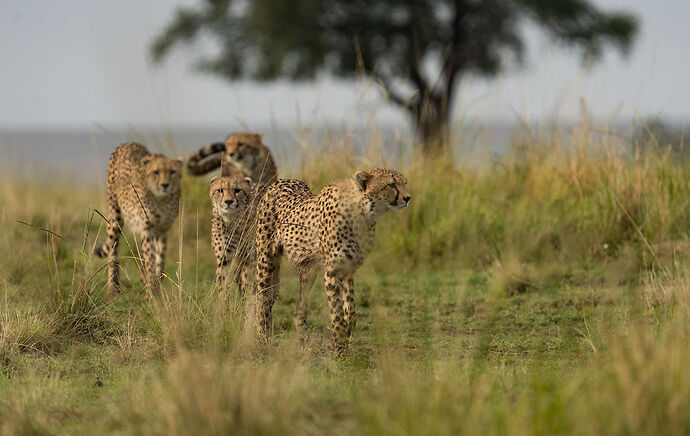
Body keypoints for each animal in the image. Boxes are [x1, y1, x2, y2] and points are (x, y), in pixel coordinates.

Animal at [92, 142, 183, 296]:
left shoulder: (163, 229)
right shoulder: (147, 228)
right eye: (156, 172)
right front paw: (152, 291)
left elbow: (160, 259)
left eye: (172, 172)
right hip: (115, 217)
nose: (165, 185)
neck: (162, 199)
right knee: (113, 252)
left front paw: (157, 287)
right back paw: (113, 287)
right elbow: (150, 260)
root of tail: (129, 143)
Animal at [210, 167, 255, 300]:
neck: (232, 220)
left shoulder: (249, 256)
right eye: (220, 190)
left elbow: (249, 283)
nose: (228, 201)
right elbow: (223, 286)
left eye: (237, 190)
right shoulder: (224, 258)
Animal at [254, 168, 408, 354]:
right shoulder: (331, 271)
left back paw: (303, 342)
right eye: (391, 184)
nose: (408, 198)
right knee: (262, 298)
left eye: (404, 183)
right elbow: (337, 311)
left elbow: (351, 309)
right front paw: (339, 347)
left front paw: (345, 335)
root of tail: (282, 181)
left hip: (308, 270)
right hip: (265, 259)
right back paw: (262, 339)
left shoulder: (348, 269)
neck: (362, 213)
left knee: (299, 307)